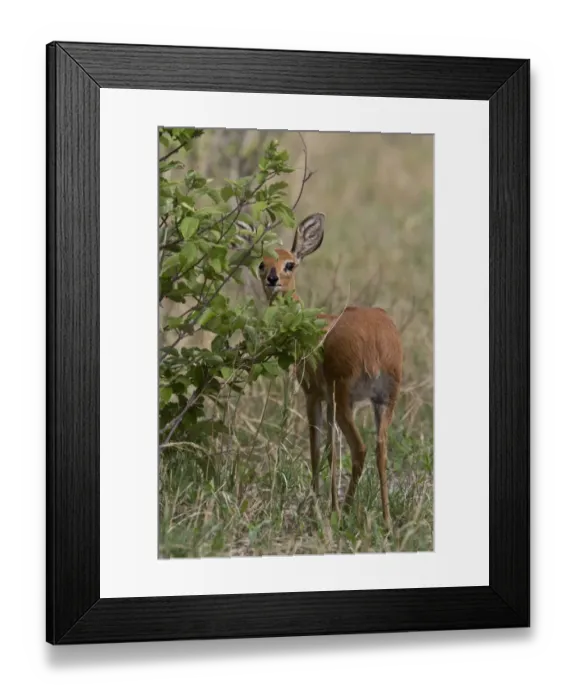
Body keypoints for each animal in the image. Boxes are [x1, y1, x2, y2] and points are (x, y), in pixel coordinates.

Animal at [247, 213, 403, 527]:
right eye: (261, 262)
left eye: (289, 264)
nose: (272, 279)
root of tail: (377, 343)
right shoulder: (332, 400)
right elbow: (332, 450)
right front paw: (327, 505)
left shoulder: (313, 394)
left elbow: (317, 449)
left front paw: (316, 506)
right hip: (384, 398)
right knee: (380, 448)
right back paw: (386, 520)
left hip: (344, 397)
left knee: (360, 448)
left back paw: (347, 511)